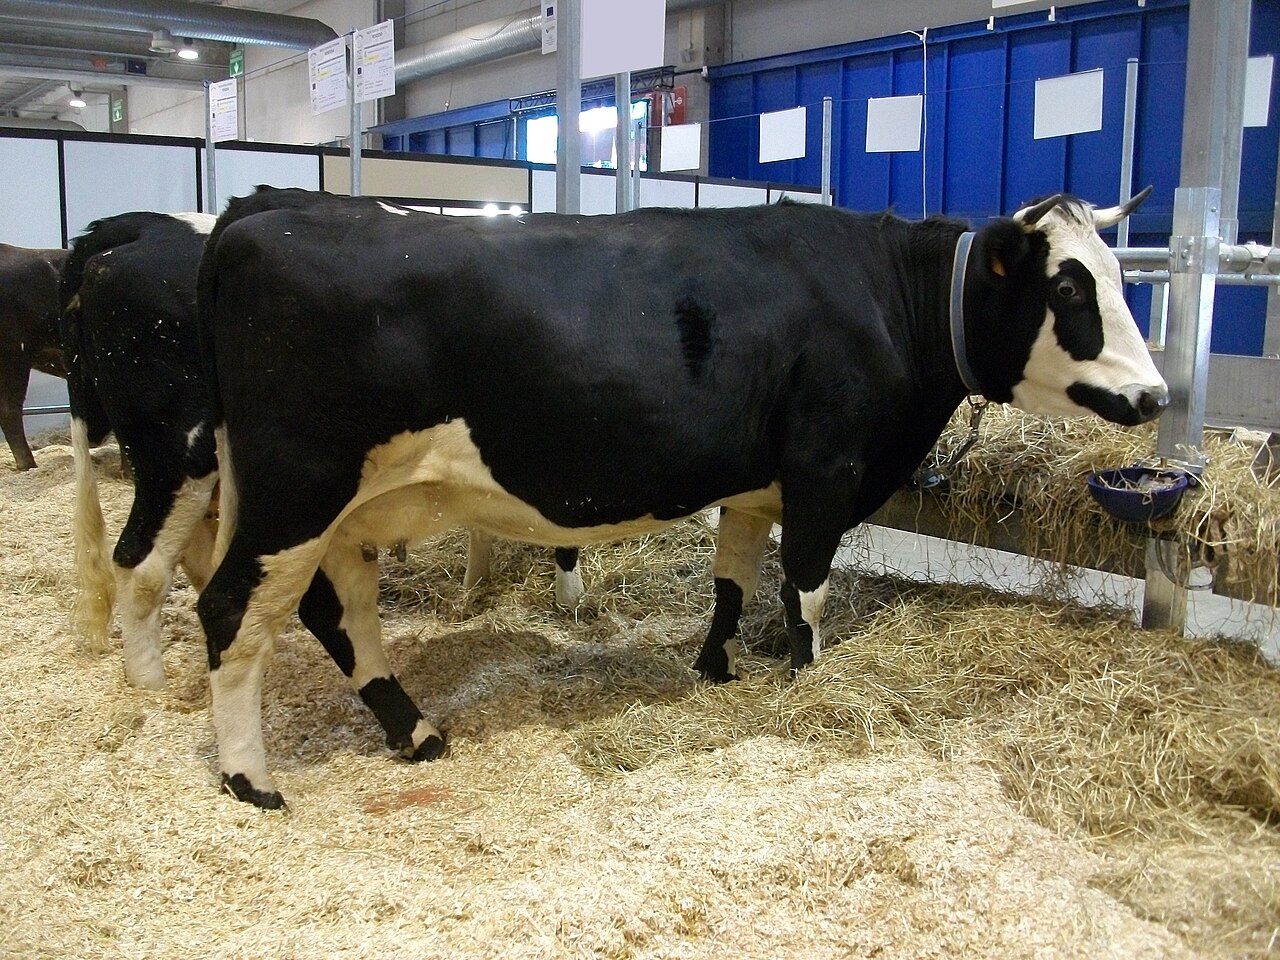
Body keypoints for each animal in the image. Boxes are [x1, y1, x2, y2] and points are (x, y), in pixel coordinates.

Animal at [196, 188, 1166, 808]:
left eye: (1122, 277)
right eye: (1069, 286)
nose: (1155, 395)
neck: (882, 293)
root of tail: (256, 218)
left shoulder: (755, 483)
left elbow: (733, 579)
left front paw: (715, 667)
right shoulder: (826, 469)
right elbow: (805, 589)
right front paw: (804, 682)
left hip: (333, 510)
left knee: (337, 610)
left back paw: (414, 729)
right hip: (297, 490)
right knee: (231, 613)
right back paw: (253, 780)